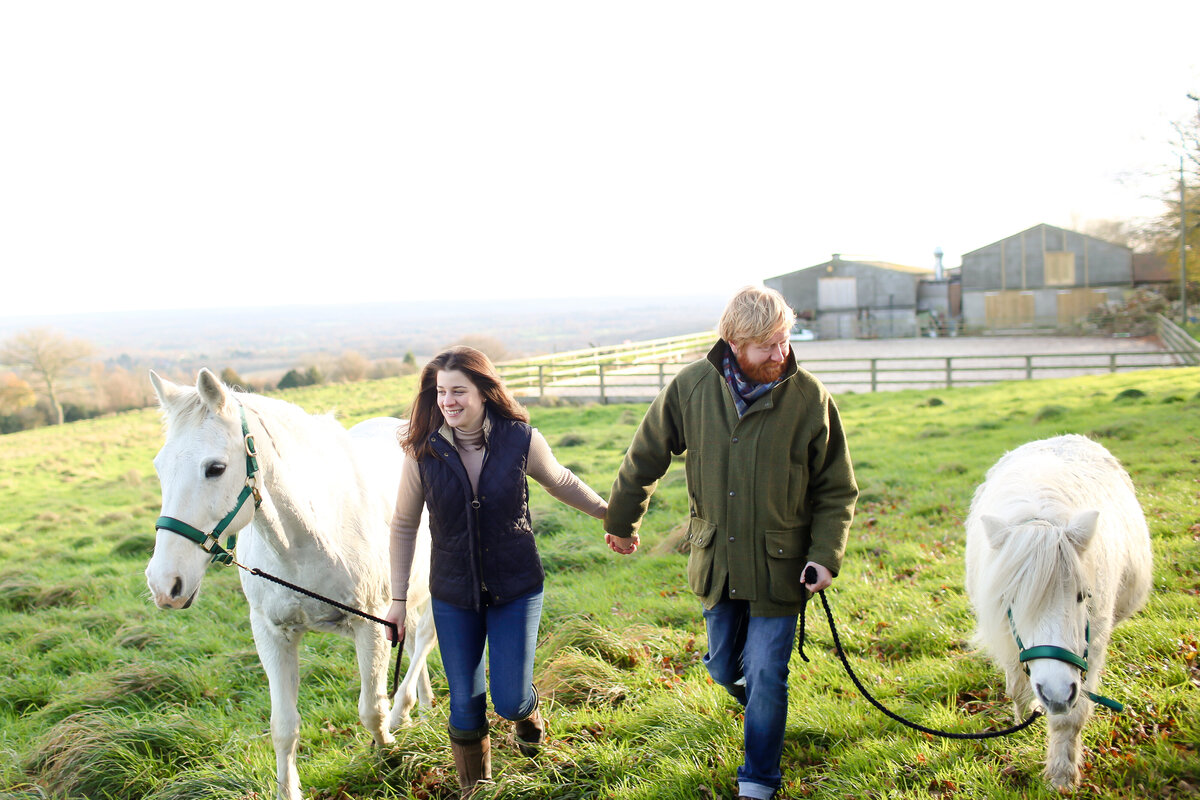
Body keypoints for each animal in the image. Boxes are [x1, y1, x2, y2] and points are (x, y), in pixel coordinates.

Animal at [143, 371, 439, 800]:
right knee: (416, 639)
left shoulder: (371, 625)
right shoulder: (272, 633)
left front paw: (390, 758)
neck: (310, 537)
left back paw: (404, 709)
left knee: (426, 639)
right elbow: (283, 727)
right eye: (160, 467)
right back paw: (423, 706)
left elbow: (371, 709)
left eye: (215, 468)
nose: (164, 583)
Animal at [964, 431, 1152, 786]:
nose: (1055, 694)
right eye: (1011, 601)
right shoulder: (1008, 637)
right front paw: (1022, 717)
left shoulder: (1091, 646)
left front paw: (1062, 775)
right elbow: (1016, 684)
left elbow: (1071, 718)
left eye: (1082, 596)